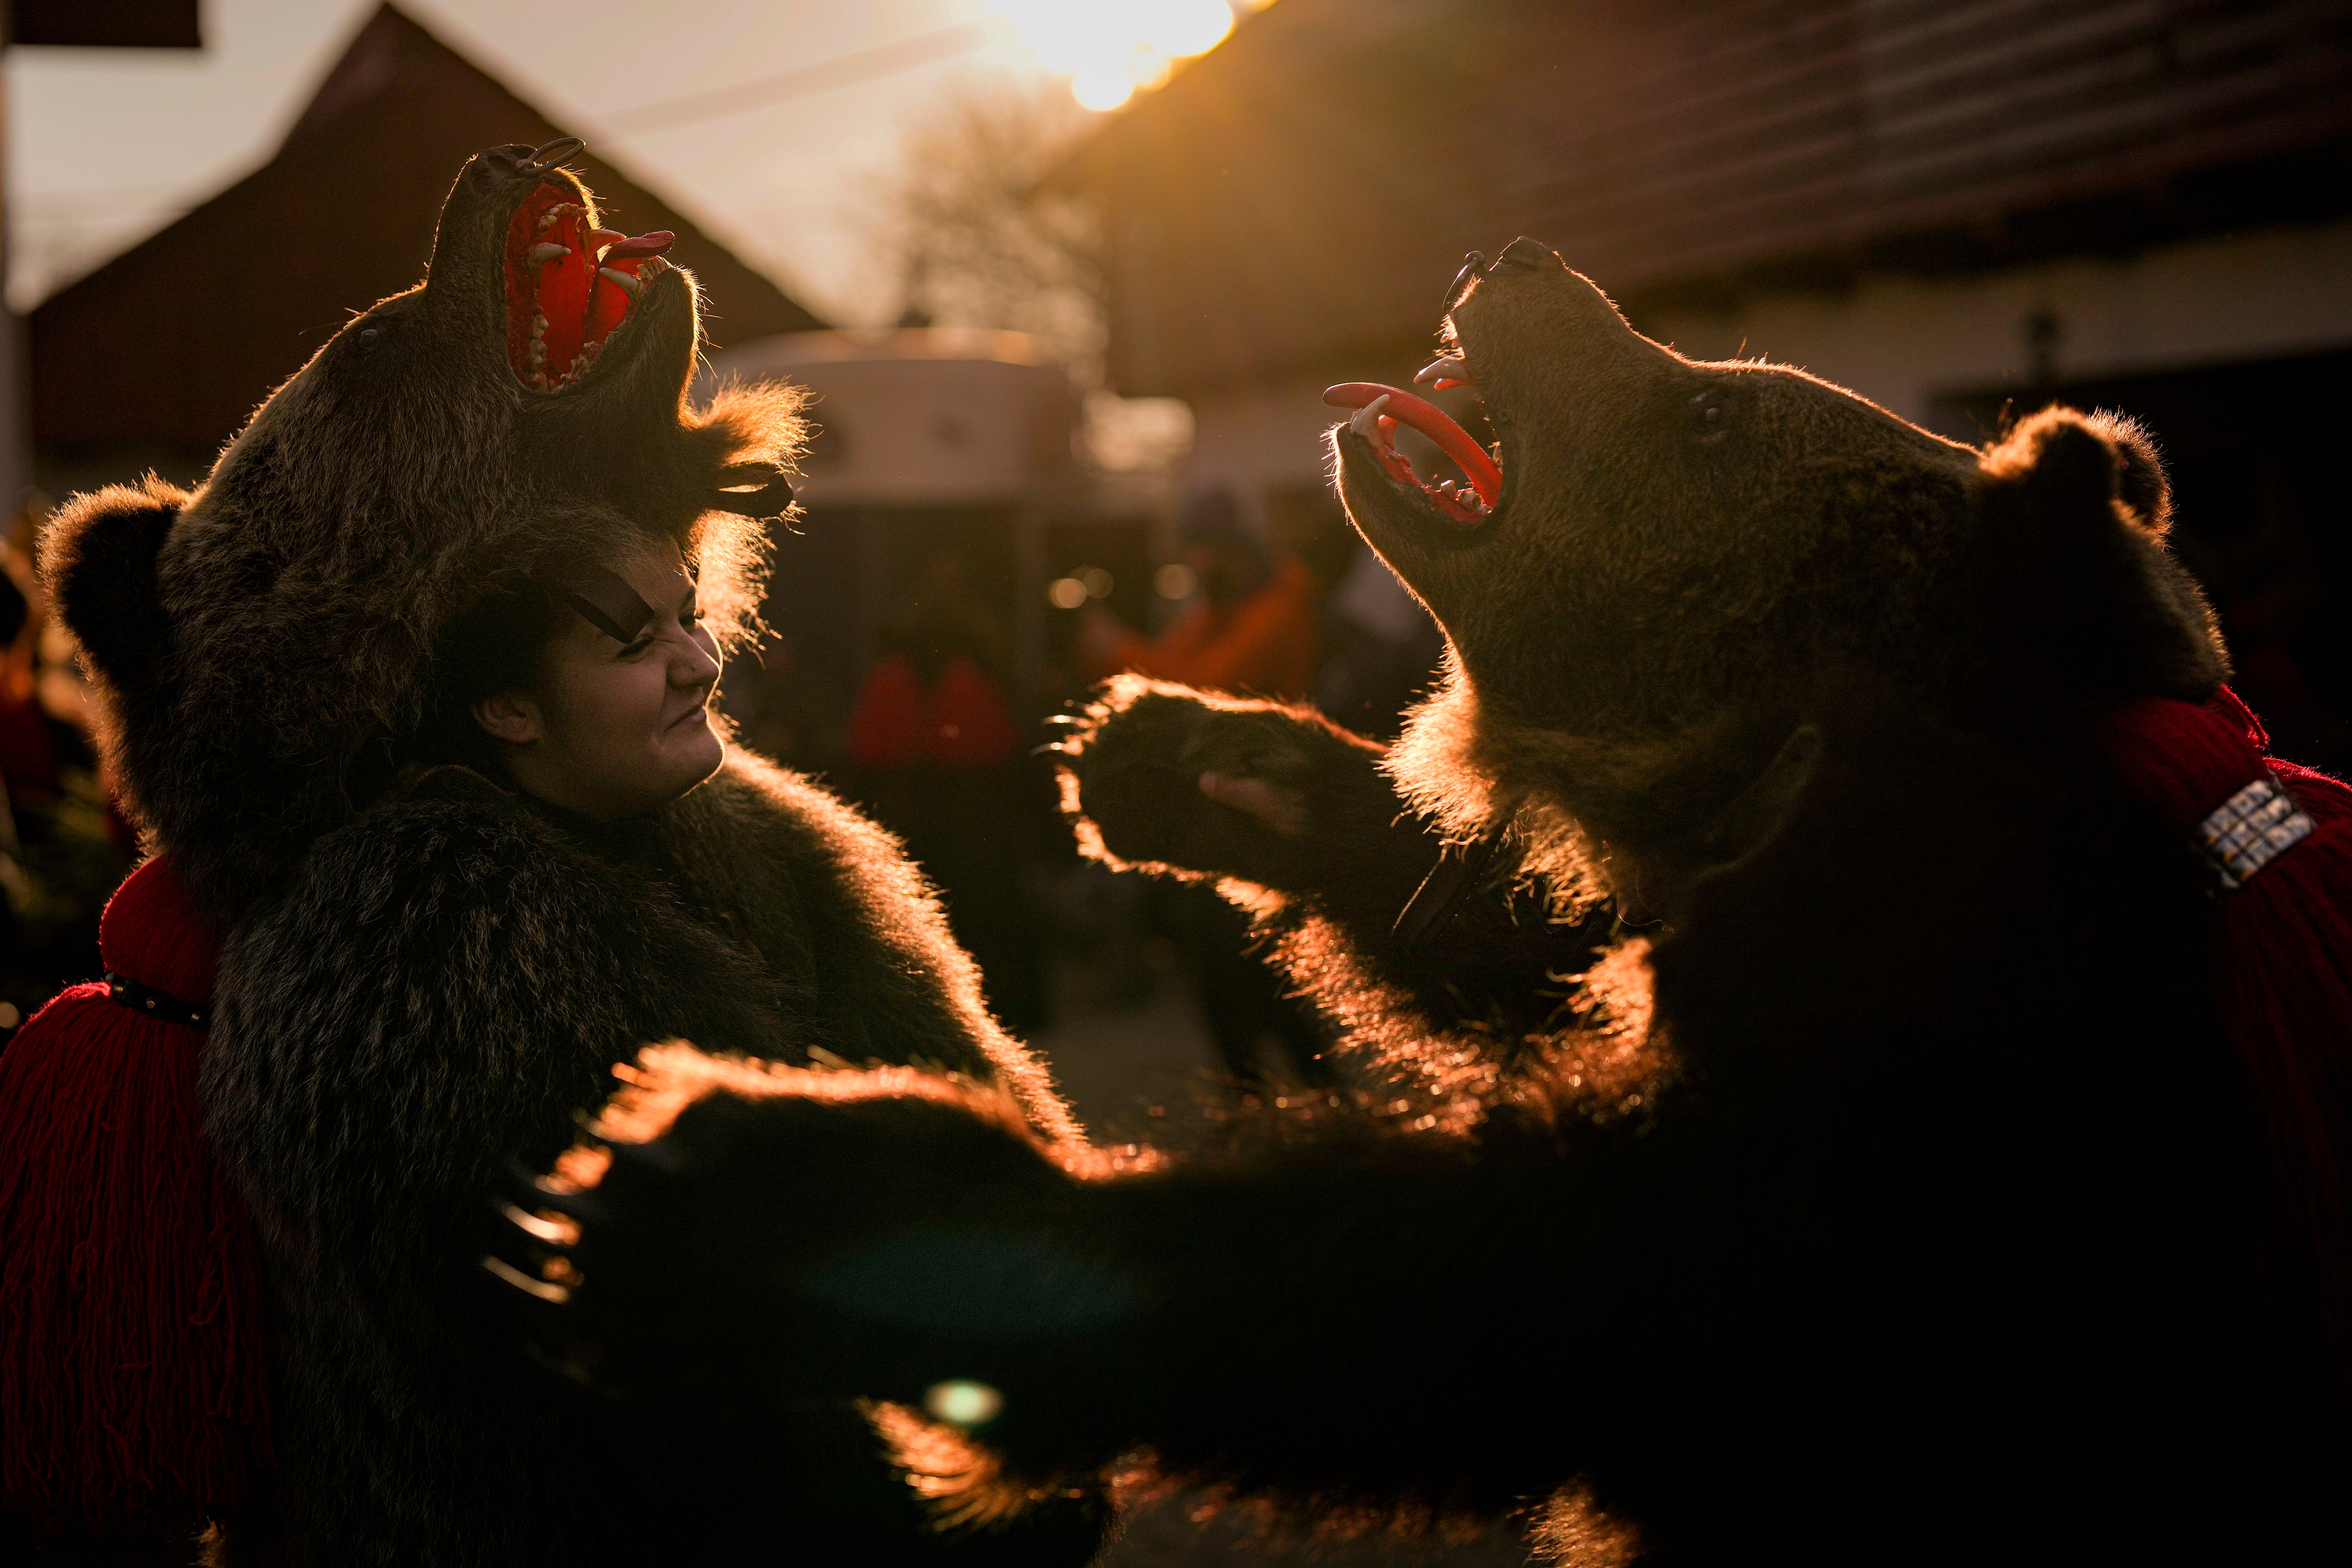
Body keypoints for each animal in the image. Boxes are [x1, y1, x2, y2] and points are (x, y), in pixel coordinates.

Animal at [496, 240, 2348, 1563]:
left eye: (1713, 407)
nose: (1522, 257)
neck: (1750, 772)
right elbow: (1528, 964)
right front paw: (1196, 753)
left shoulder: (1932, 1054)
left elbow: (1493, 1280)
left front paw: (782, 1178)